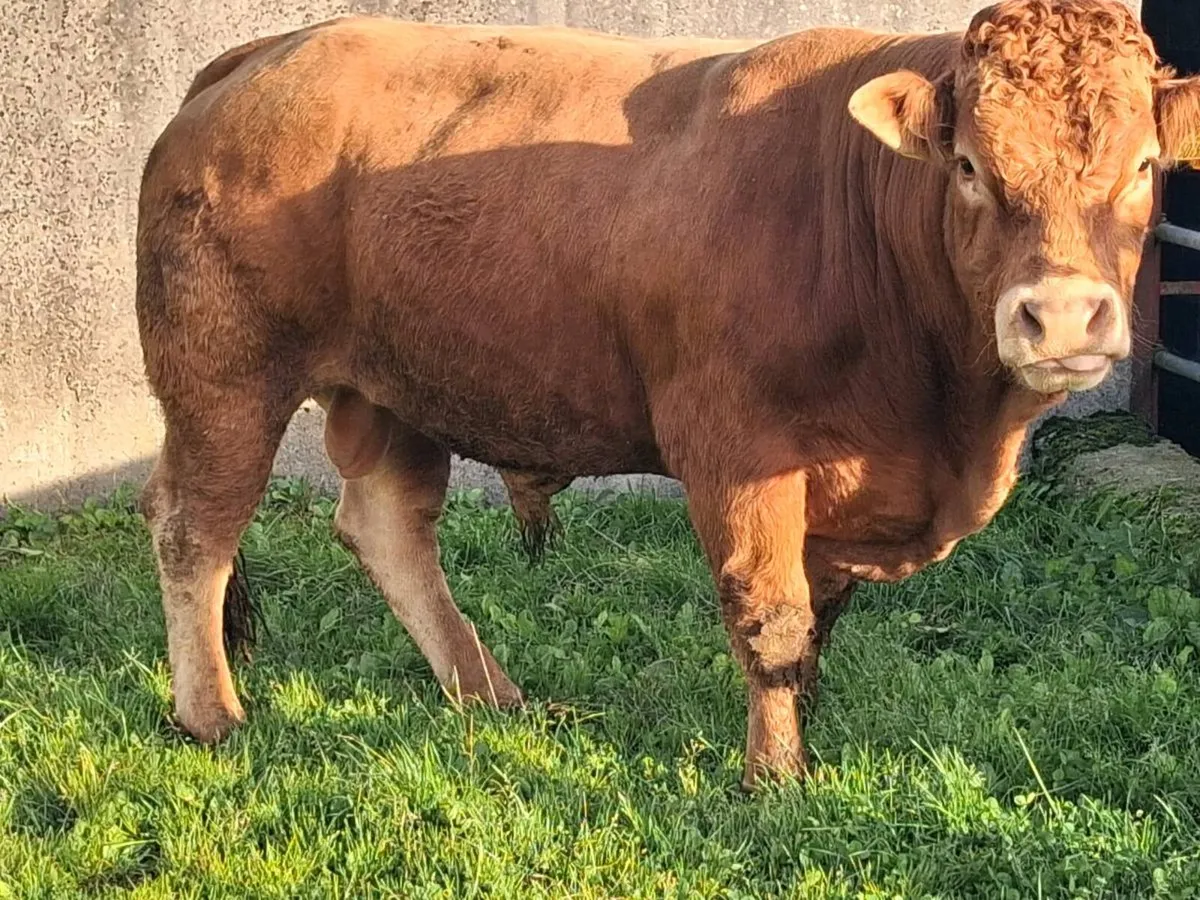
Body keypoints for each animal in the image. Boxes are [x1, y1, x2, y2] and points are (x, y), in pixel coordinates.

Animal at [135, 0, 1200, 789]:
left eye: (1145, 167)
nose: (1060, 316)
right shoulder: (736, 454)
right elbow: (771, 621)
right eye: (971, 166)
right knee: (195, 528)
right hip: (223, 376)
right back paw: (212, 715)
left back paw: (490, 694)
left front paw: (804, 739)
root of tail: (267, 51)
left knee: (387, 528)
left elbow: (817, 624)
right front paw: (774, 780)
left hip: (401, 384)